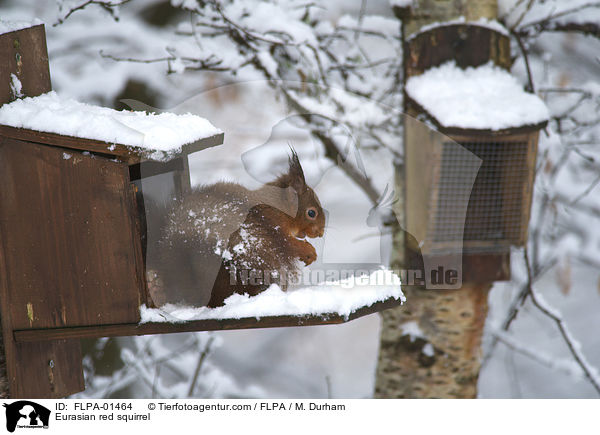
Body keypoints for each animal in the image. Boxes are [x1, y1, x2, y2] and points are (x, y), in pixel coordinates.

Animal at [152, 152, 326, 308]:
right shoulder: (274, 225)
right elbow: (289, 245)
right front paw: (309, 252)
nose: (321, 232)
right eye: (311, 213)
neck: (277, 206)